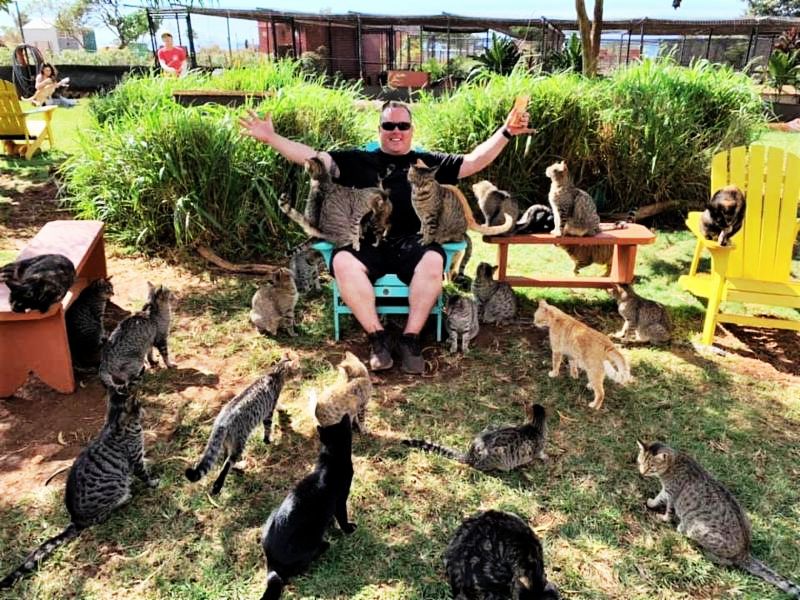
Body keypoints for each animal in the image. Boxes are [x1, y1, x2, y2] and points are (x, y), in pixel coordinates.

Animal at [0, 388, 158, 590]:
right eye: (140, 405)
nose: (144, 410)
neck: (114, 424)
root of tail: (75, 519)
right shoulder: (135, 459)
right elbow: (144, 474)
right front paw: (154, 481)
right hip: (115, 489)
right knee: (103, 515)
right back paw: (125, 498)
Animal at [185, 353, 299, 496]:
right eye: (298, 369)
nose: (301, 373)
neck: (274, 373)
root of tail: (221, 421)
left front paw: (283, 410)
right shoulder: (268, 411)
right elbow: (268, 428)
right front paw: (268, 440)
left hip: (227, 442)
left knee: (225, 458)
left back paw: (236, 468)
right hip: (240, 442)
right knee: (227, 463)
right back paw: (218, 486)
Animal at [260, 414, 356, 600]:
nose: (346, 414)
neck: (330, 459)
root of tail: (271, 563)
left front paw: (332, 525)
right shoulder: (340, 500)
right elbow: (342, 517)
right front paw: (349, 529)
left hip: (272, 514)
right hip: (311, 538)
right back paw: (324, 546)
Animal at [403, 403, 548, 472]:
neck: (535, 426)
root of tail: (471, 452)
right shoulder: (535, 449)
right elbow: (539, 453)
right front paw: (545, 457)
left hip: (493, 425)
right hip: (498, 453)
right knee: (478, 466)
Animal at [636, 440, 800, 598]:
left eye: (651, 466)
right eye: (641, 462)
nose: (642, 472)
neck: (674, 463)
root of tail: (744, 553)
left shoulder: (672, 494)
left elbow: (667, 509)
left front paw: (661, 516)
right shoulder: (666, 491)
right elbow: (658, 497)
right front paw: (651, 502)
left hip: (697, 529)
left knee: (727, 561)